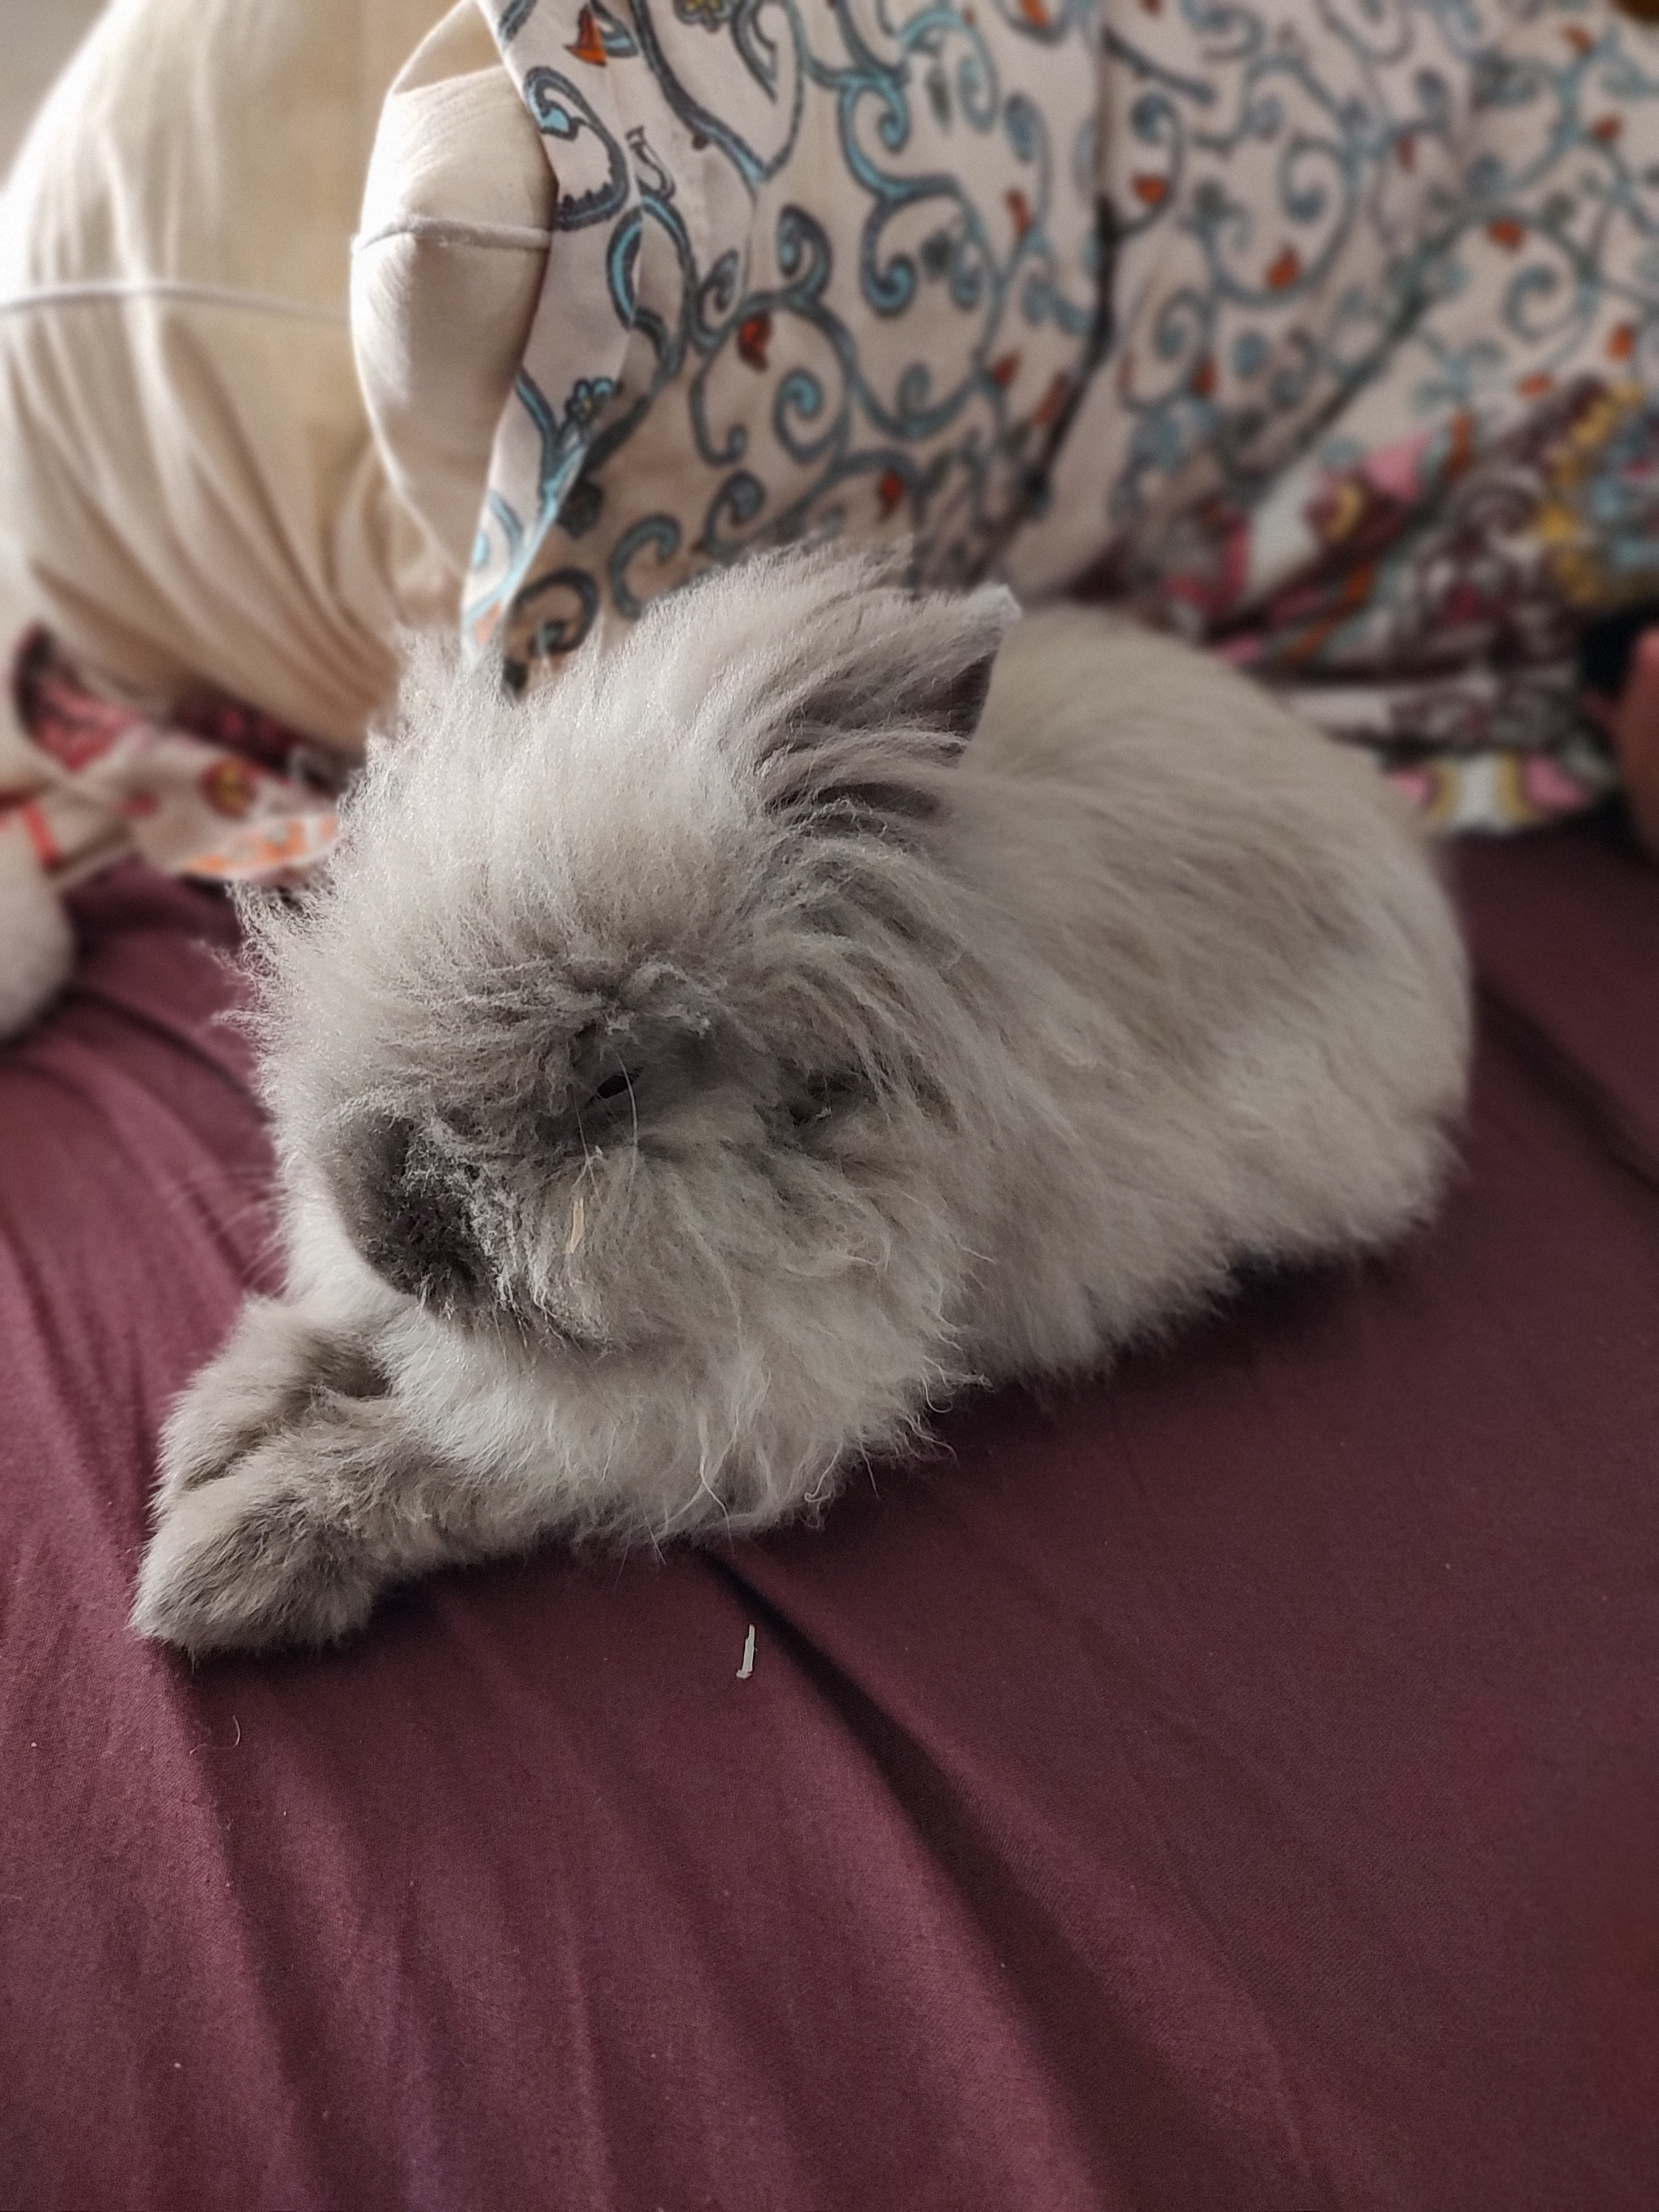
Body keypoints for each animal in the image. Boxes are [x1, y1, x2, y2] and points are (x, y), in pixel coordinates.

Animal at [132, 547, 1471, 1654]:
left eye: (613, 1078)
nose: (380, 1229)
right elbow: (344, 1339)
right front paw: (208, 1431)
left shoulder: (705, 1410)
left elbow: (440, 1453)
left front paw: (210, 1568)